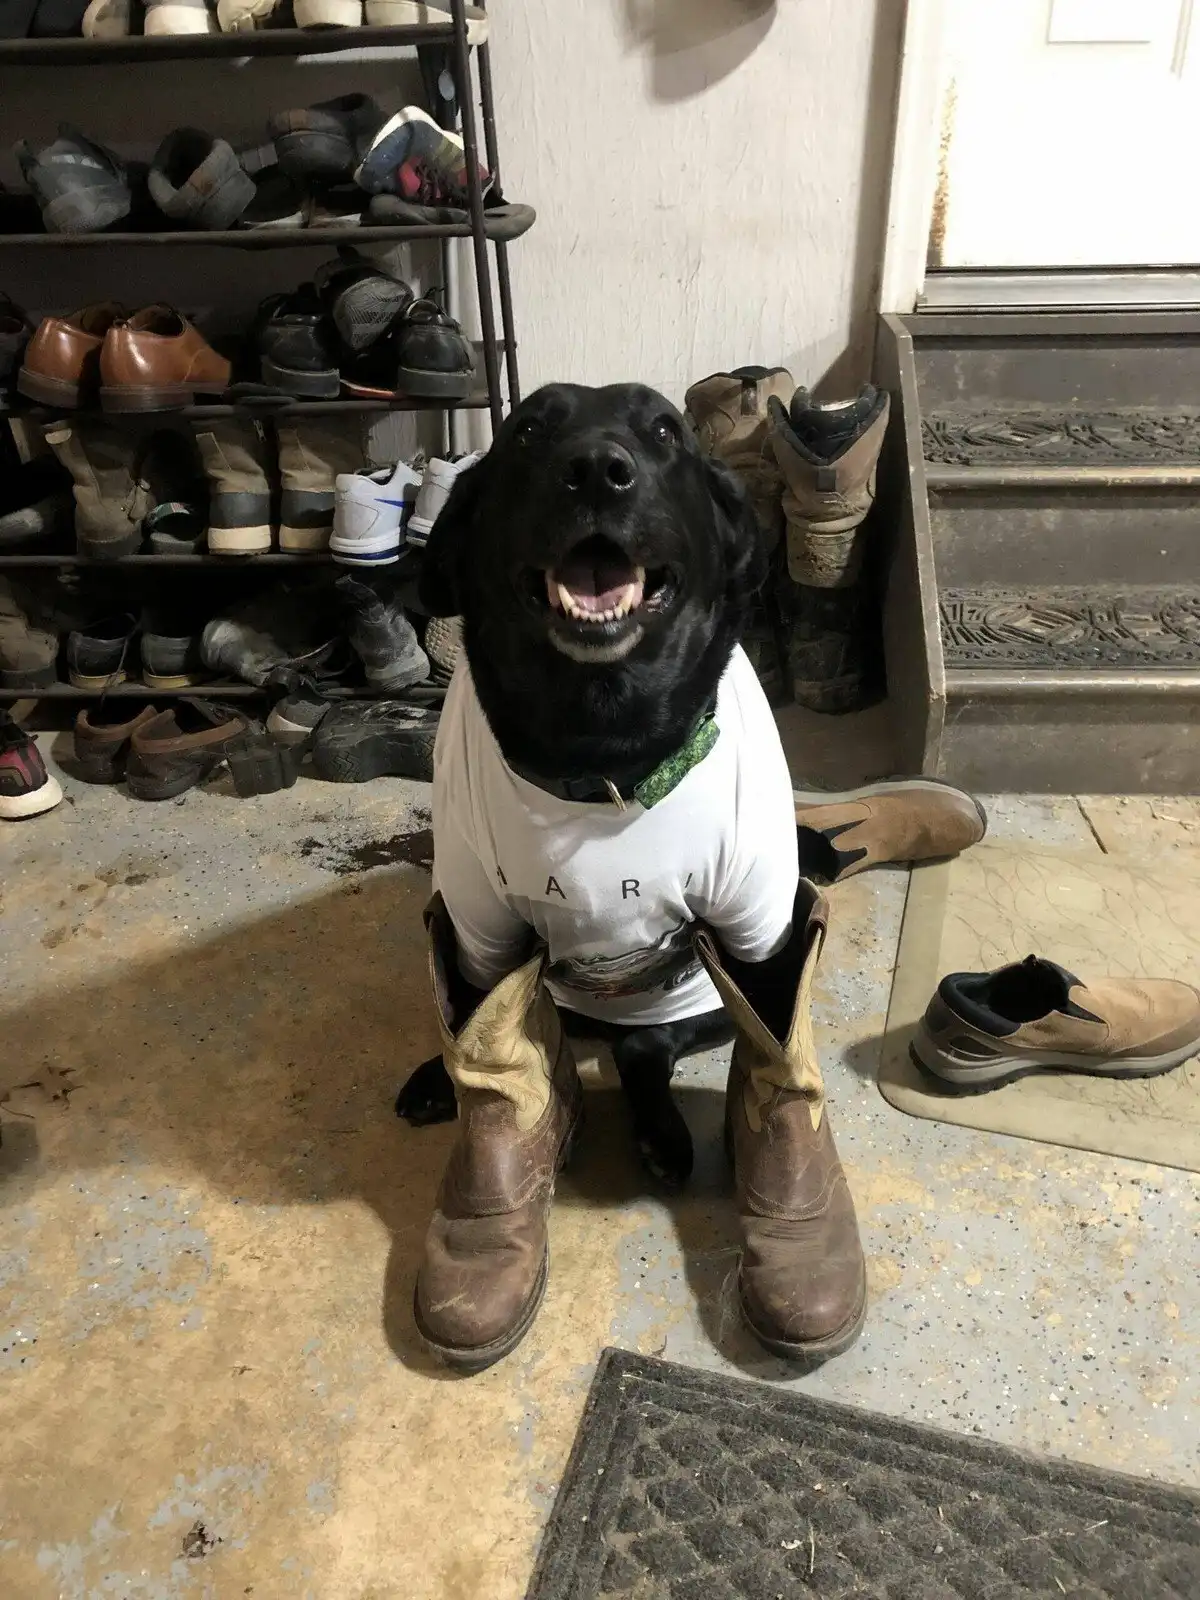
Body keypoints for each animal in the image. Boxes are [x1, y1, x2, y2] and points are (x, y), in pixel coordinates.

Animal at [394, 380, 801, 1188]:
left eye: (667, 431)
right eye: (525, 432)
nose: (595, 472)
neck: (605, 745)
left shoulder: (757, 931)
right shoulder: (479, 924)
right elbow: (477, 1017)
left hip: (700, 990)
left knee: (643, 1044)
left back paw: (661, 1132)